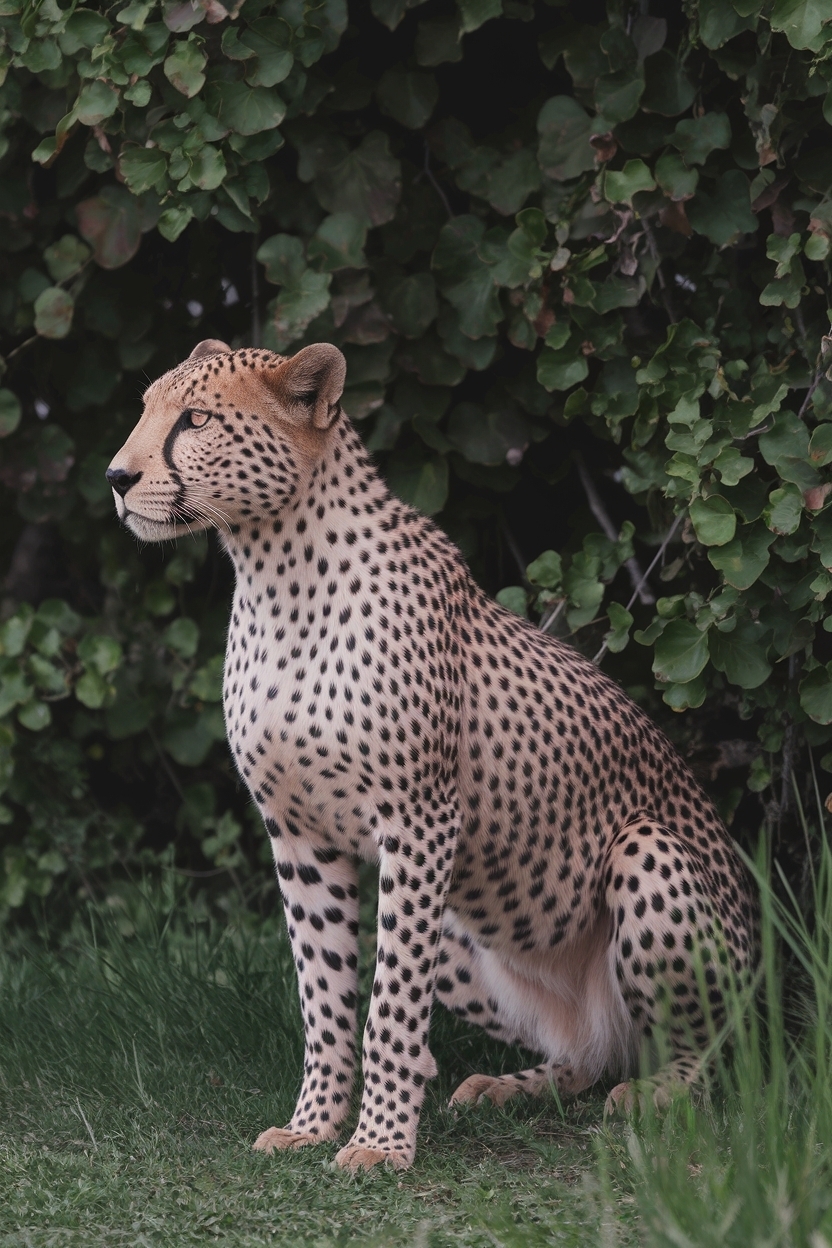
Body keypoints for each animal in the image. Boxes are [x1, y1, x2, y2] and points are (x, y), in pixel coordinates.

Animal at [106, 339, 757, 1173]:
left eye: (195, 419)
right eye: (145, 410)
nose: (117, 478)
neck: (275, 568)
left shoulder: (418, 820)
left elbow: (388, 1002)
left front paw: (380, 1142)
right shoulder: (298, 834)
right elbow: (323, 993)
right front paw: (313, 1123)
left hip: (646, 854)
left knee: (715, 1048)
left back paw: (662, 1091)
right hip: (471, 921)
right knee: (587, 1053)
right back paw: (513, 1085)